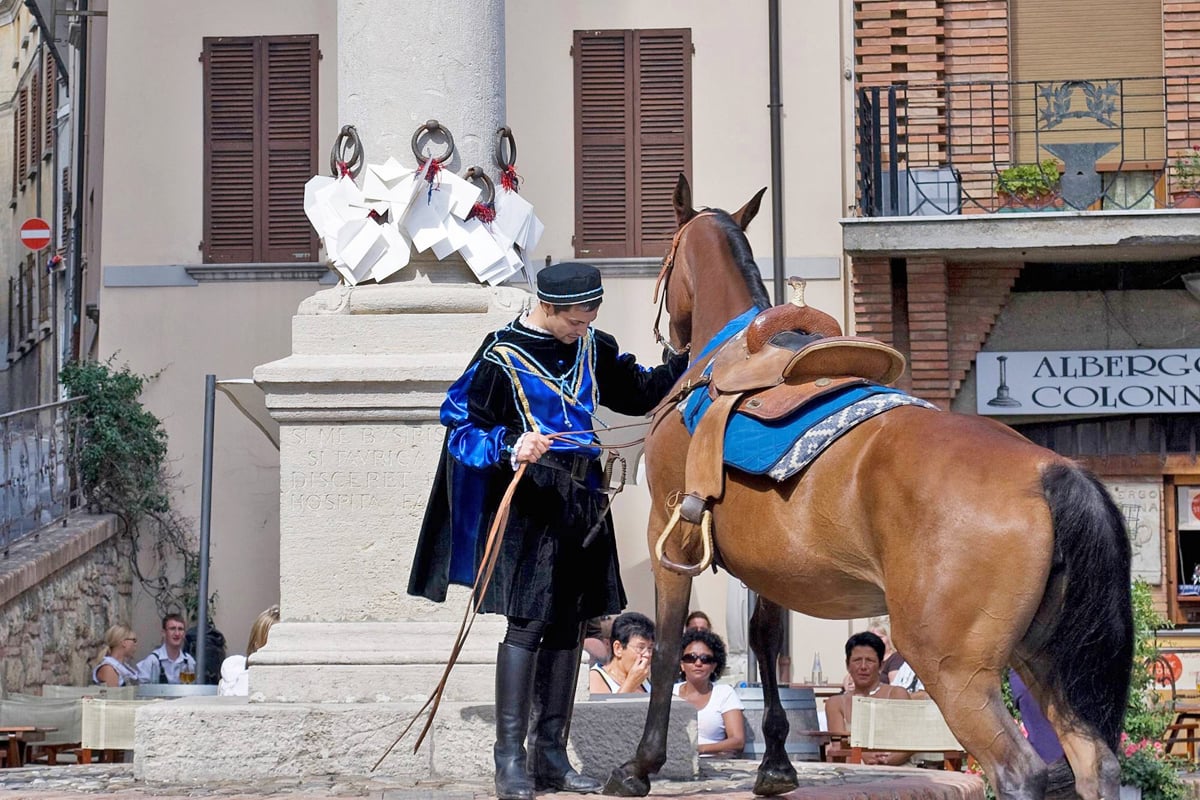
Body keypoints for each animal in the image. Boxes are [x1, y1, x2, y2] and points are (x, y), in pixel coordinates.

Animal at [609, 176, 1132, 800]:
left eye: (665, 261)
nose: (668, 344)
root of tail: (1049, 470)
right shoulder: (768, 570)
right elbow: (764, 642)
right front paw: (777, 762)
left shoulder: (671, 538)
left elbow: (666, 649)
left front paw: (641, 765)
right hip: (1043, 660)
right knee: (1094, 762)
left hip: (957, 671)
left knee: (1019, 770)